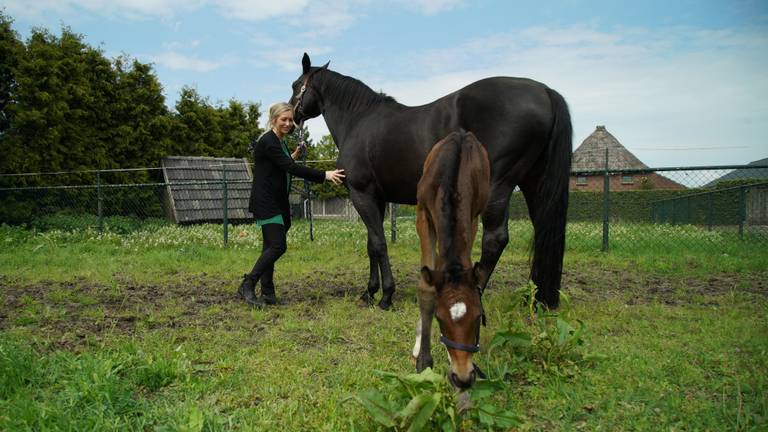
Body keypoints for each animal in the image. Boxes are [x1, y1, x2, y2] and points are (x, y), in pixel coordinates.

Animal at [288, 54, 568, 310]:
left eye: (295, 85)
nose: (291, 119)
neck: (357, 120)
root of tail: (545, 91)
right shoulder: (376, 198)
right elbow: (371, 244)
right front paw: (369, 292)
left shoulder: (361, 193)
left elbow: (379, 243)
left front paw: (386, 296)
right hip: (533, 183)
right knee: (542, 232)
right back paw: (536, 300)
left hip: (498, 185)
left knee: (495, 239)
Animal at [414, 129, 492, 388]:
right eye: (439, 318)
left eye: (478, 317)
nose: (463, 377)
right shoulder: (423, 214)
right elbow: (426, 286)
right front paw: (424, 361)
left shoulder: (474, 216)